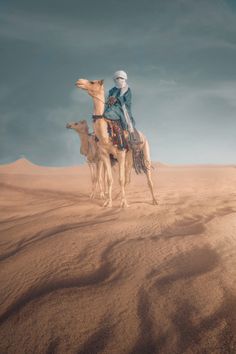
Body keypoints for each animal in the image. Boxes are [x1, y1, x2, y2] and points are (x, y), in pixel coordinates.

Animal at [74, 76, 158, 205]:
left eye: (92, 82)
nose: (79, 81)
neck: (106, 134)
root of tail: (142, 135)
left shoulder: (120, 153)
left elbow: (120, 179)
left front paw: (123, 203)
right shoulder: (104, 154)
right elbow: (110, 179)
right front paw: (108, 203)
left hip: (144, 151)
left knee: (147, 176)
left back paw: (154, 201)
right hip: (129, 158)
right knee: (128, 178)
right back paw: (117, 197)